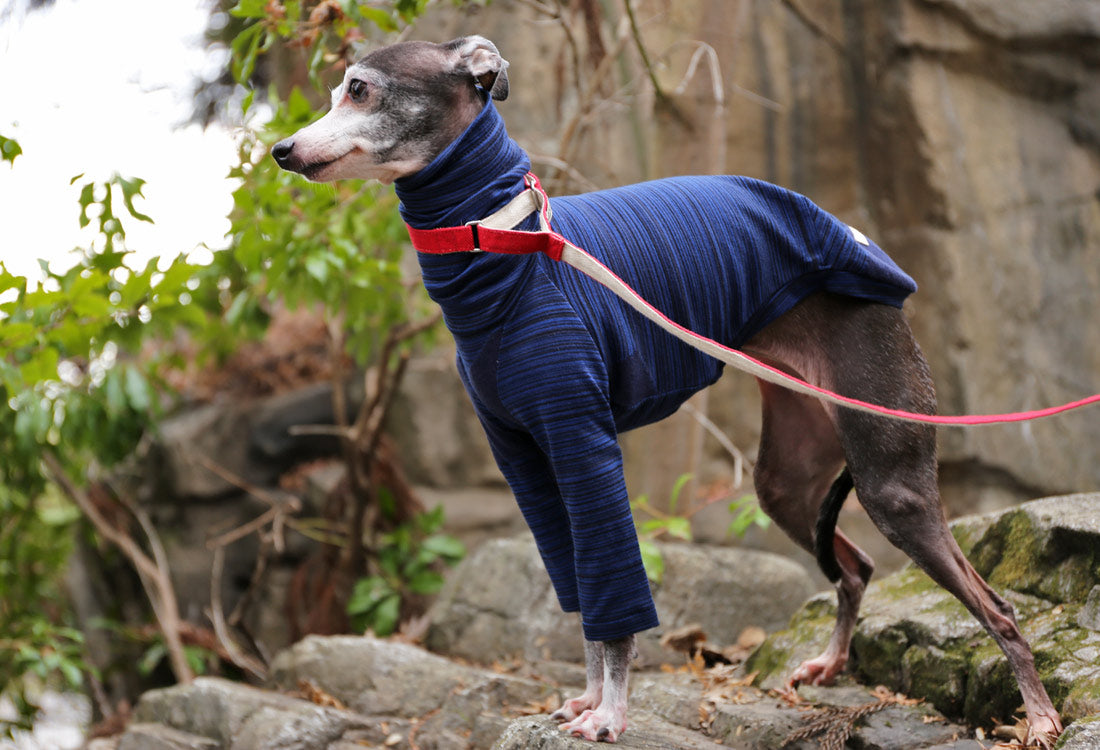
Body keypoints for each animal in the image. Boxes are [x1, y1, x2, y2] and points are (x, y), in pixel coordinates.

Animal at [272, 35, 1064, 743]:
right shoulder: (527, 463)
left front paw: (612, 715)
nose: (282, 150)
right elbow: (581, 599)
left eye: (360, 89)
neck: (506, 244)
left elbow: (613, 603)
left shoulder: (584, 448)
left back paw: (1040, 715)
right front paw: (587, 701)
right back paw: (831, 665)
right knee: (857, 567)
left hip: (891, 479)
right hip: (787, 480)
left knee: (997, 608)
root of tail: (870, 259)